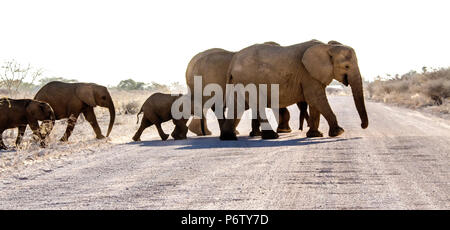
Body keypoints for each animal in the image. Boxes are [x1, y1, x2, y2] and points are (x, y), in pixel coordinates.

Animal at [220, 39, 368, 140]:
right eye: (346, 66)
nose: (362, 126)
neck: (328, 47)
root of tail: (233, 62)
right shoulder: (307, 74)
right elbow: (315, 98)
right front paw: (338, 132)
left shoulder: (313, 76)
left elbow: (315, 103)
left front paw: (315, 135)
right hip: (249, 80)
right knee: (257, 105)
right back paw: (272, 136)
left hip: (239, 81)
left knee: (237, 106)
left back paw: (228, 138)